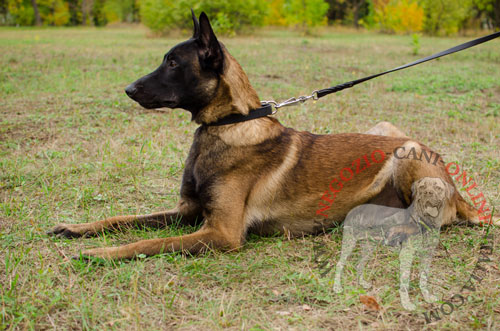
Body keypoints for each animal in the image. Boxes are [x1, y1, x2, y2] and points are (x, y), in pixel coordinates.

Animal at [47, 10, 492, 260]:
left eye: (173, 62)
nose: (128, 89)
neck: (228, 126)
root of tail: (460, 195)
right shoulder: (188, 212)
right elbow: (124, 219)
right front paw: (78, 229)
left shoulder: (221, 233)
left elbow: (147, 244)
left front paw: (101, 253)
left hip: (407, 151)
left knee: (427, 225)